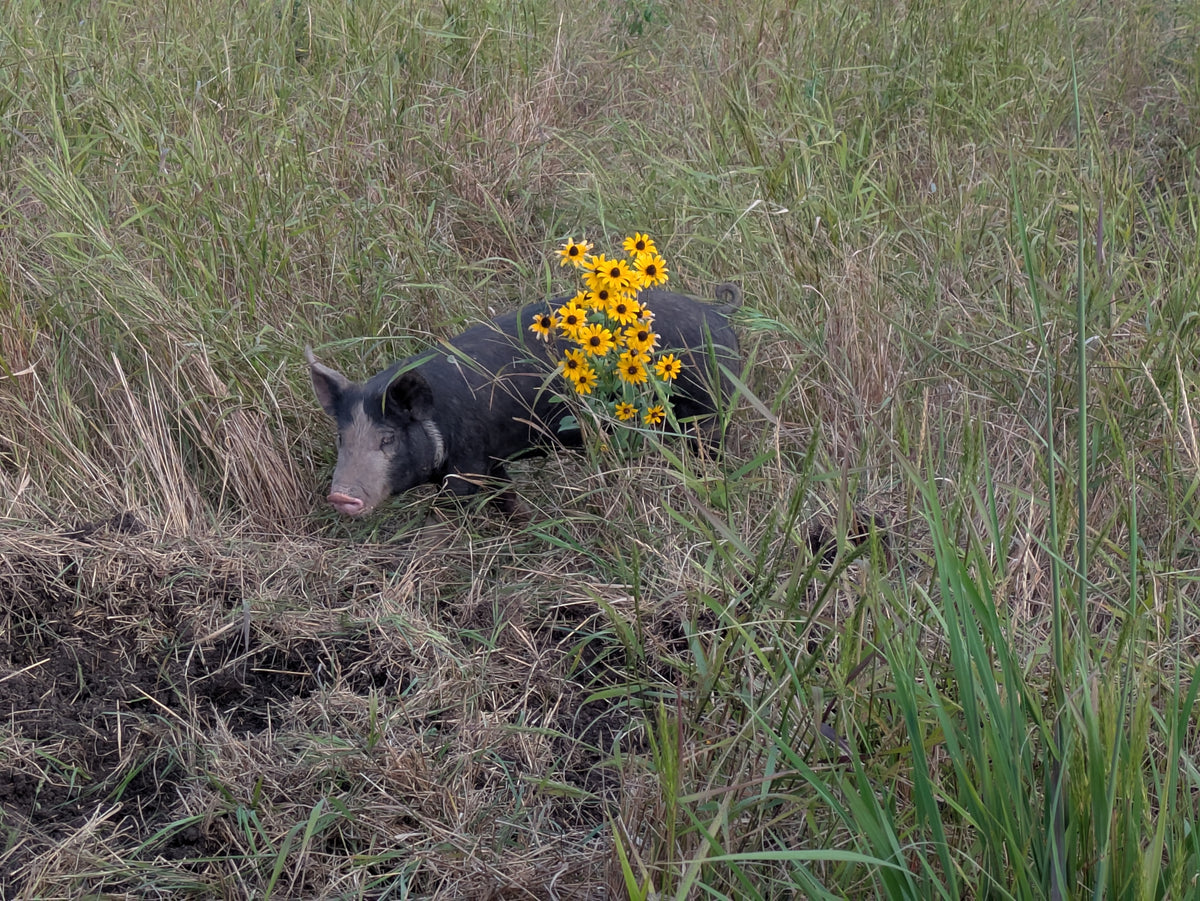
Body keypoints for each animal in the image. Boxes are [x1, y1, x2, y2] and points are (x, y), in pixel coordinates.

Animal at [306, 286, 741, 517]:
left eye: (387, 439)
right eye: (342, 438)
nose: (340, 495)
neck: (440, 419)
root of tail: (716, 311)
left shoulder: (468, 466)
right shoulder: (492, 459)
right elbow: (507, 496)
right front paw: (521, 519)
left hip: (706, 408)